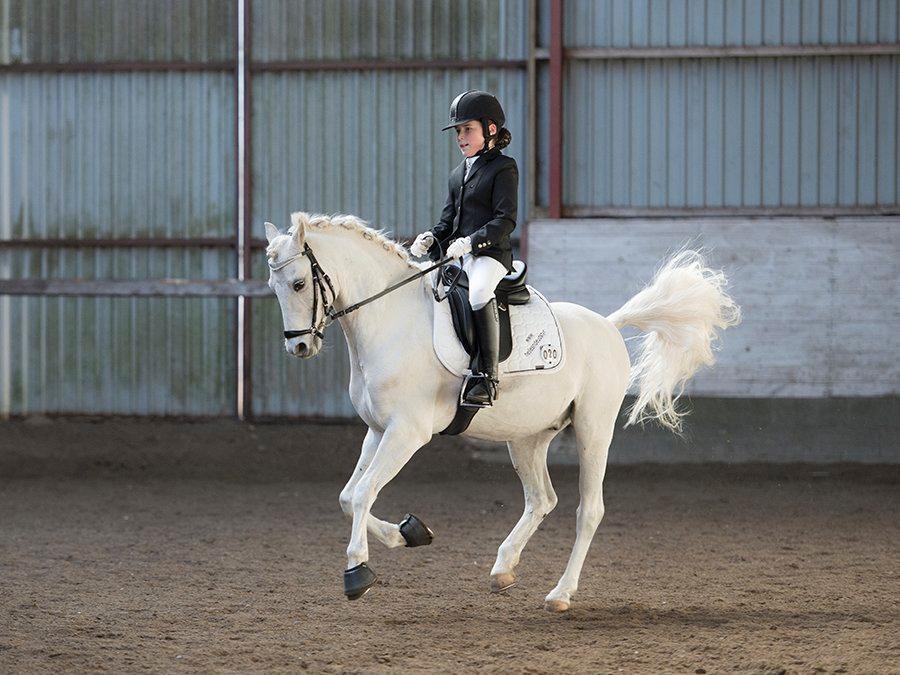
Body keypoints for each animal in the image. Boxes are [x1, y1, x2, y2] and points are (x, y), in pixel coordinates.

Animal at [263, 211, 741, 612]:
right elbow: (348, 497)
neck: (391, 321)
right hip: (527, 437)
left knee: (589, 510)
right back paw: (503, 569)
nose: (299, 346)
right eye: (274, 288)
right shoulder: (378, 431)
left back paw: (560, 594)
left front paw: (357, 572)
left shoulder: (407, 432)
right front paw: (410, 533)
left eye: (299, 284)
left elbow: (363, 493)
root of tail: (607, 325)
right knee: (542, 498)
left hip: (594, 430)